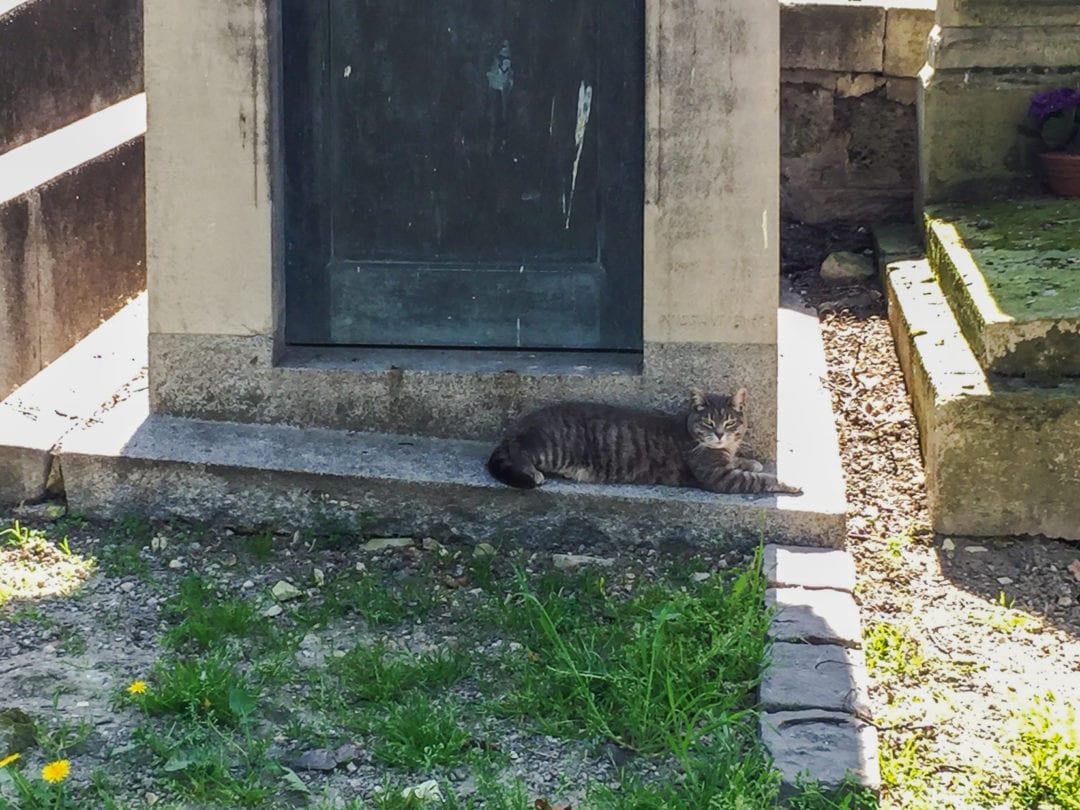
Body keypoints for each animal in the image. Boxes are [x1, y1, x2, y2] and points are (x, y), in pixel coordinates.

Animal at [490, 386, 803, 494]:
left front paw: (751, 461)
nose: (719, 433)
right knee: (518, 451)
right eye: (708, 422)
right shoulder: (720, 478)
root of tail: (517, 426)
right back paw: (533, 473)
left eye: (729, 422)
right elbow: (762, 481)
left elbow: (744, 463)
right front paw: (790, 483)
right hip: (551, 444)